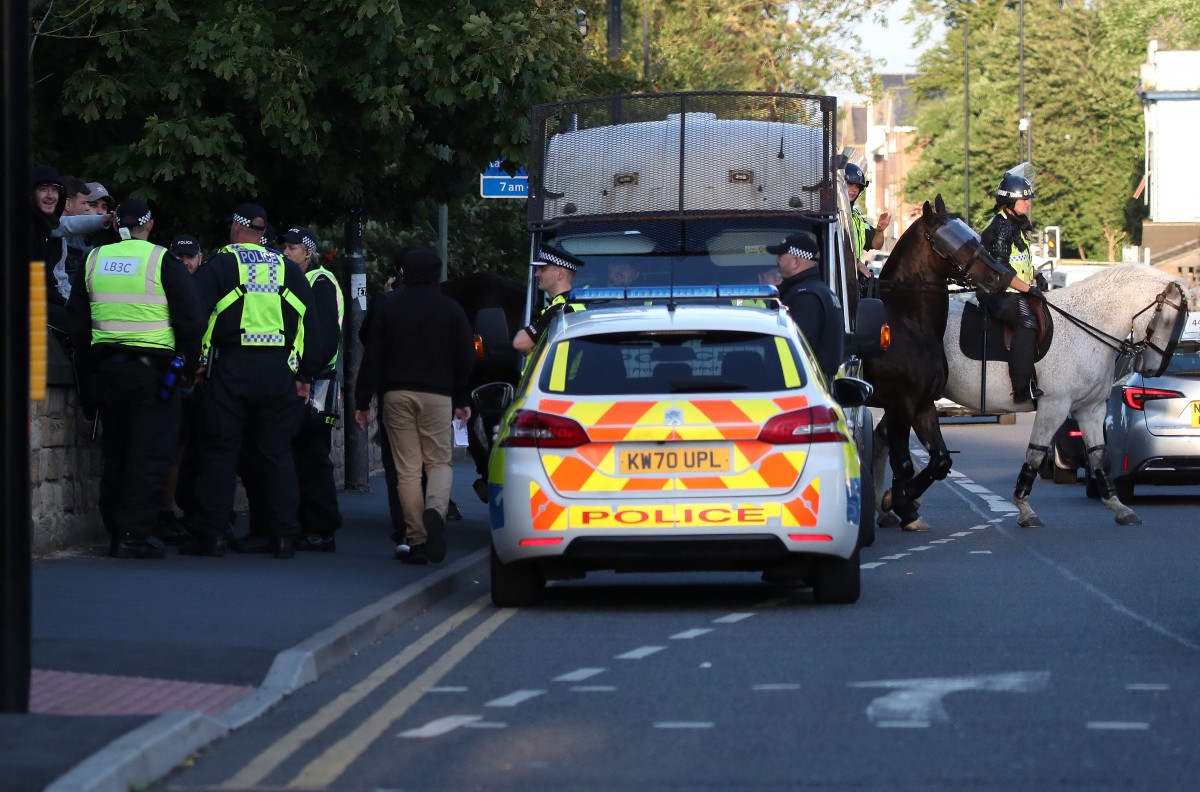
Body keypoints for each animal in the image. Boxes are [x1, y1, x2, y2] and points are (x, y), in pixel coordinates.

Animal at [868, 196, 1185, 532]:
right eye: (1167, 319)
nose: (1152, 368)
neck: (1085, 324)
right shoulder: (1054, 405)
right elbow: (1036, 453)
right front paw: (1024, 508)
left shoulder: (1091, 408)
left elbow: (1100, 458)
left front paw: (1119, 506)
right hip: (908, 401)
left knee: (882, 439)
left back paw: (891, 506)